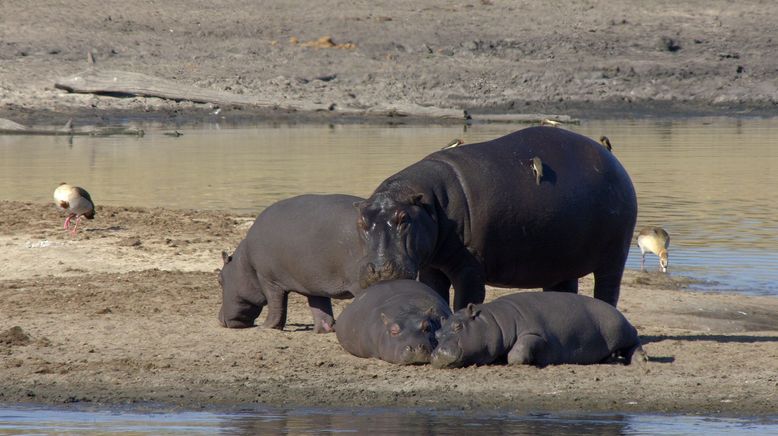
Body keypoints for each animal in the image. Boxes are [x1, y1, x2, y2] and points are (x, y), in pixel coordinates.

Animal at [218, 194, 364, 334]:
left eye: (219, 280)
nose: (219, 319)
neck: (244, 262)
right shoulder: (313, 283)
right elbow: (320, 309)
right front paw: (320, 331)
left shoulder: (269, 280)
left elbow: (275, 305)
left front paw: (264, 327)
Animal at [356, 126, 636, 310]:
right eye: (361, 221)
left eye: (404, 218)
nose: (379, 271)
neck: (428, 202)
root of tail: (615, 162)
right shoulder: (431, 266)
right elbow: (435, 293)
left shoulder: (469, 266)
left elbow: (466, 299)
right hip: (562, 262)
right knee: (564, 288)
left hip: (615, 255)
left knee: (608, 289)